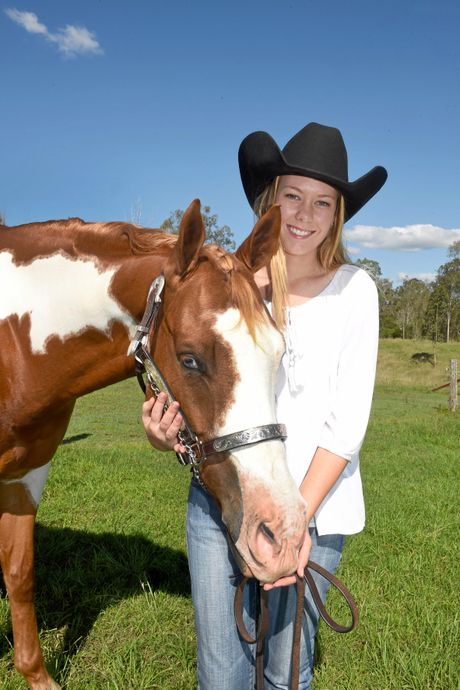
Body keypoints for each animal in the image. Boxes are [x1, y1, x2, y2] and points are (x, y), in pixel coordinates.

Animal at [0, 200, 310, 688]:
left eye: (278, 352)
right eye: (190, 359)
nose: (283, 534)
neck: (15, 348)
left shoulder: (26, 475)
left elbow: (20, 572)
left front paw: (36, 675)